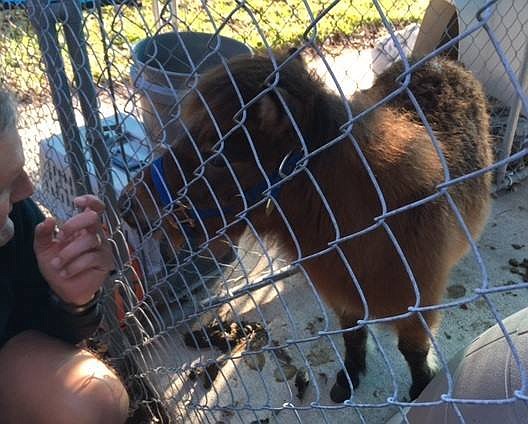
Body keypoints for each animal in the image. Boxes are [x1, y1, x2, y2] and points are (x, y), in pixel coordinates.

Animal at [119, 51, 490, 402]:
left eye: (219, 154)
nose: (127, 205)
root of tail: (439, 62)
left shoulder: (417, 309)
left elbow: (413, 352)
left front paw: (421, 389)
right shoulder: (346, 299)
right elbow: (353, 338)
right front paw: (347, 380)